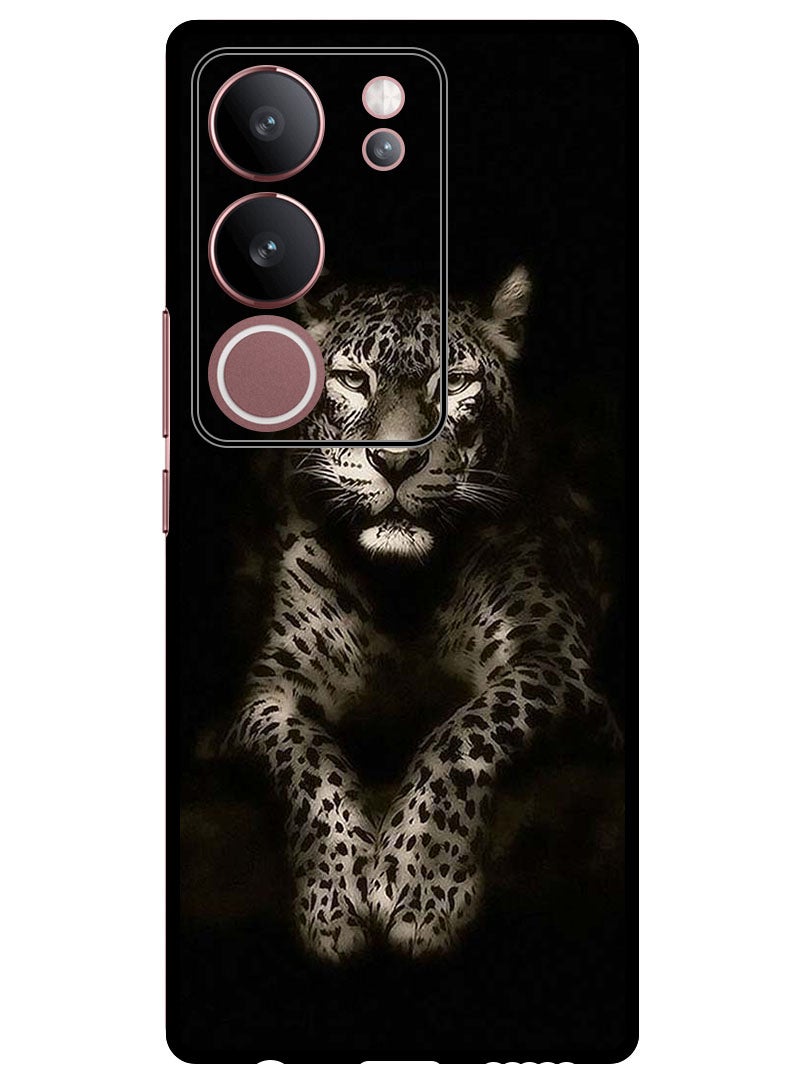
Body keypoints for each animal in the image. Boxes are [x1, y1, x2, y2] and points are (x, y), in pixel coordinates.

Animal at [224, 266, 622, 961]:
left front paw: (420, 887)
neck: (401, 589)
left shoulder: (555, 661)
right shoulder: (269, 693)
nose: (397, 460)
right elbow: (308, 761)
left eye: (456, 382)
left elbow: (462, 734)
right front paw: (334, 898)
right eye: (354, 379)